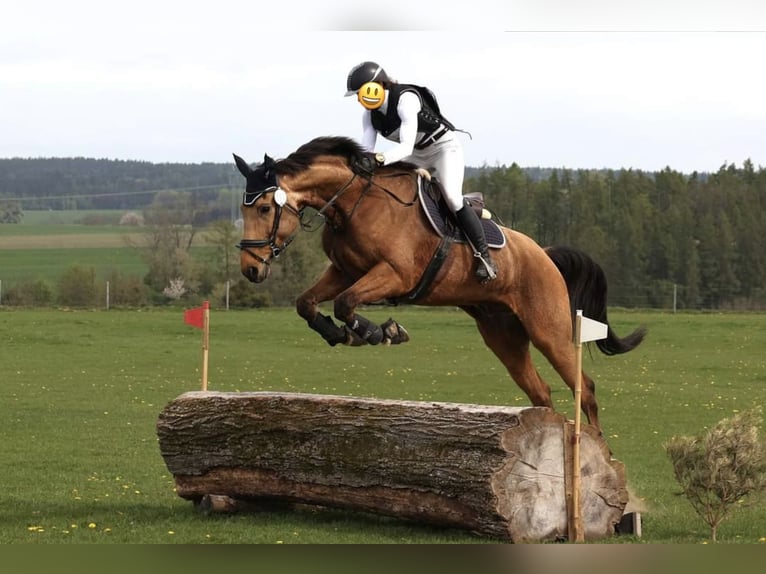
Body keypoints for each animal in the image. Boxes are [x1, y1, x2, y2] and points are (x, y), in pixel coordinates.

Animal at [234, 137, 648, 434]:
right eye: (242, 209)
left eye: (265, 208)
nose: (250, 269)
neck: (354, 202)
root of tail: (544, 255)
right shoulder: (343, 271)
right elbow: (307, 303)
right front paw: (341, 334)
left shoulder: (394, 274)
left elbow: (346, 303)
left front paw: (382, 332)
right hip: (503, 336)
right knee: (541, 392)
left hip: (549, 330)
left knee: (586, 389)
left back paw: (598, 452)